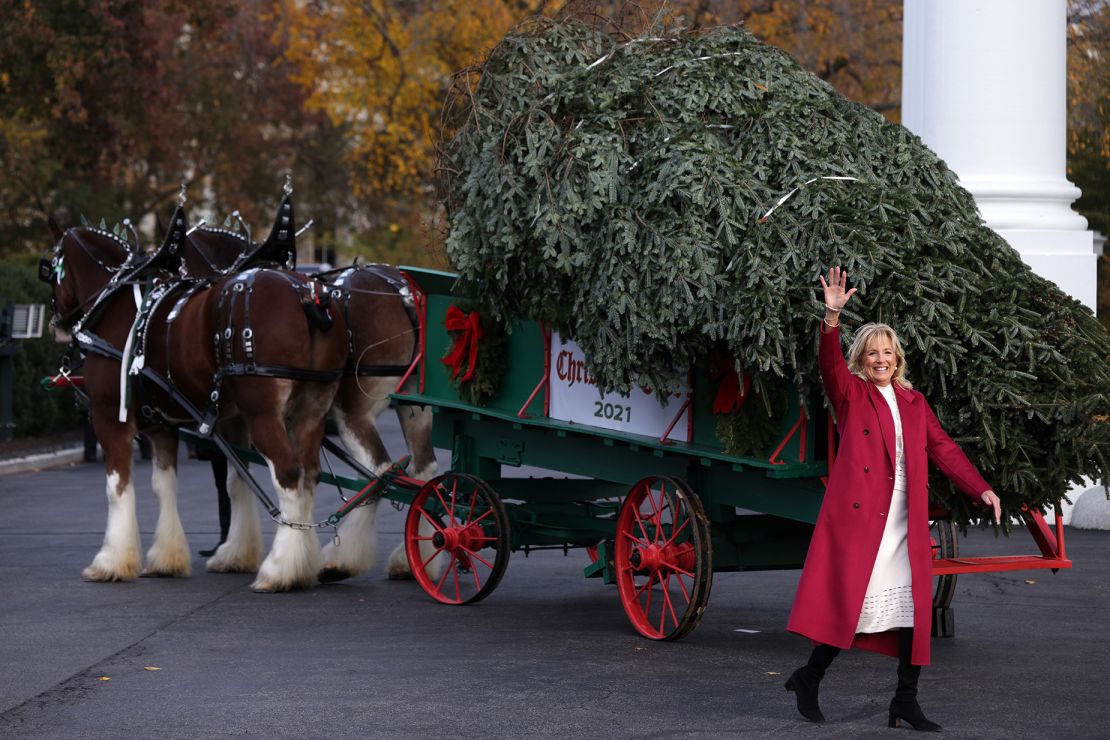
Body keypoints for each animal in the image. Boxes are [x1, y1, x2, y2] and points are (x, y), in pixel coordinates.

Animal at [42, 200, 346, 590]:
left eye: (49, 269)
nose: (57, 326)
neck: (119, 303)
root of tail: (308, 296)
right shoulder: (165, 426)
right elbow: (171, 485)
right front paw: (171, 558)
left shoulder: (111, 417)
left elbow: (118, 487)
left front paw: (111, 562)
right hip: (311, 410)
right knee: (308, 474)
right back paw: (303, 564)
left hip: (264, 414)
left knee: (289, 473)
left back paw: (280, 570)